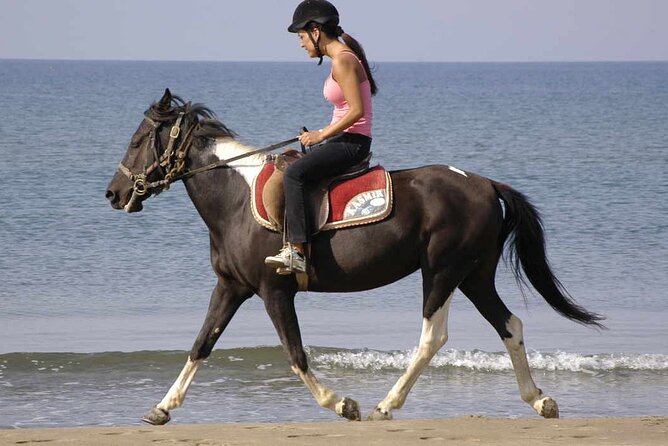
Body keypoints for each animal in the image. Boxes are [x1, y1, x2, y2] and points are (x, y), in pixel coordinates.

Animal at [105, 89, 603, 425]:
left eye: (138, 140)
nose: (114, 193)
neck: (236, 199)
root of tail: (484, 184)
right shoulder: (231, 287)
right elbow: (201, 344)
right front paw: (162, 408)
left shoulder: (273, 291)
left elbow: (295, 353)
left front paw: (342, 403)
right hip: (473, 275)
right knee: (509, 325)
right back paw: (538, 399)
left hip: (442, 271)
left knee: (433, 336)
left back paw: (386, 404)